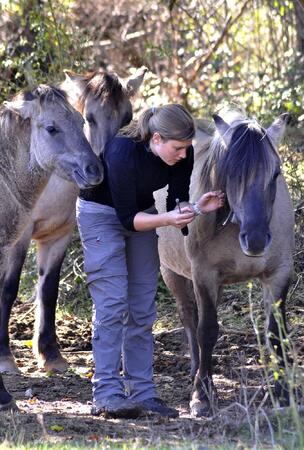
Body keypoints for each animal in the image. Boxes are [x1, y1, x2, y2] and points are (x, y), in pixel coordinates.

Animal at [0, 67, 146, 376]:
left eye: (127, 117)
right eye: (89, 117)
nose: (103, 169)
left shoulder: (60, 235)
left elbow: (49, 290)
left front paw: (51, 354)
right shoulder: (19, 237)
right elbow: (9, 289)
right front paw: (5, 357)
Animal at [156, 110, 294, 418]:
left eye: (275, 174)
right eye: (231, 174)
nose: (256, 240)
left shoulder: (278, 275)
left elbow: (275, 333)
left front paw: (283, 394)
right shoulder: (203, 275)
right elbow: (206, 330)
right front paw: (202, 395)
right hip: (172, 273)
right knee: (189, 317)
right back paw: (197, 372)